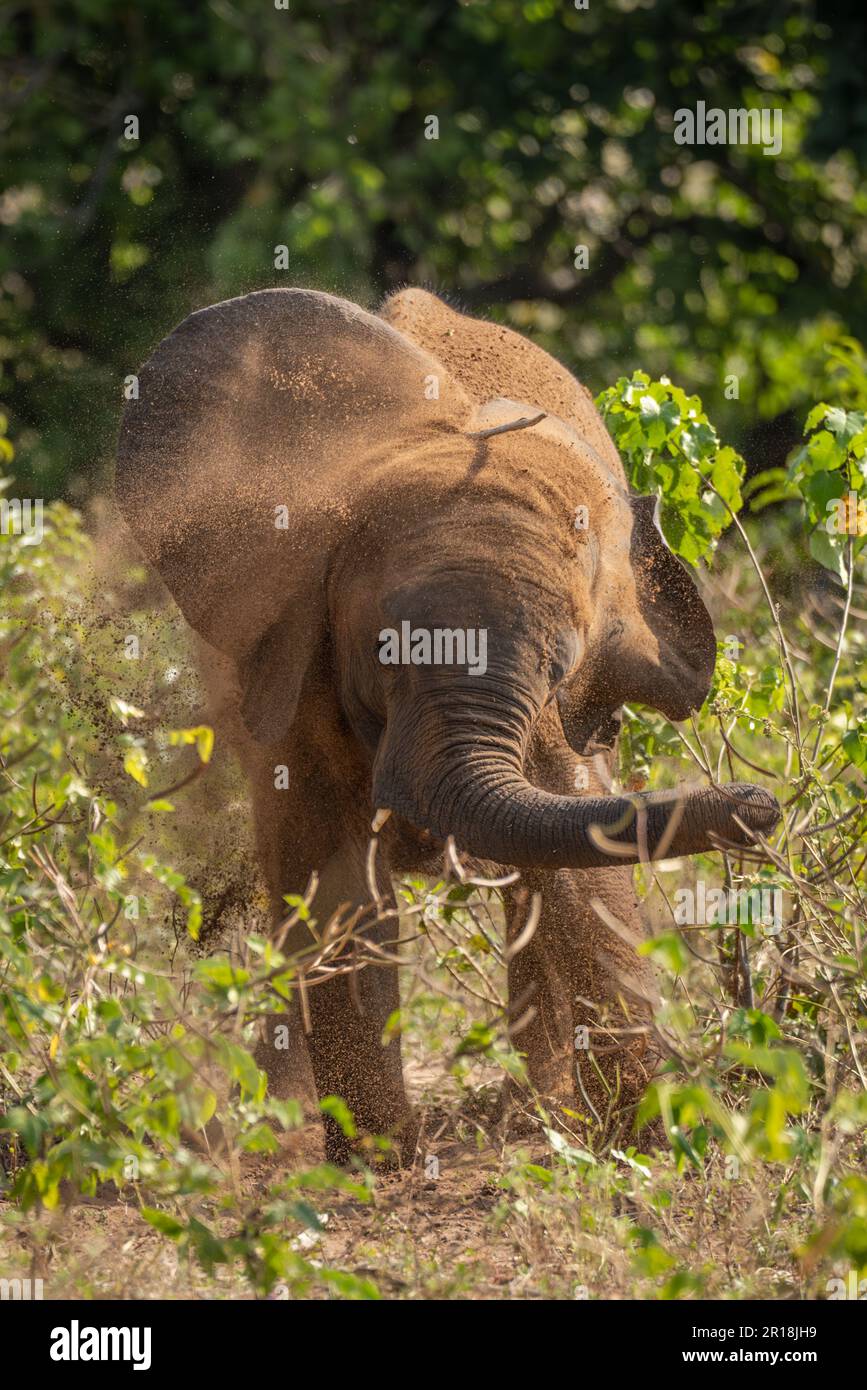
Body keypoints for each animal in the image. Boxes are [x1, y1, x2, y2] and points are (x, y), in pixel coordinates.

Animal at [115, 286, 779, 1163]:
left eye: (559, 667)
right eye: (384, 650)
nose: (761, 806)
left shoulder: (555, 718)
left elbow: (580, 862)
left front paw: (638, 1141)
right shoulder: (294, 647)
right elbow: (332, 879)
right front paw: (378, 1161)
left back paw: (547, 1109)